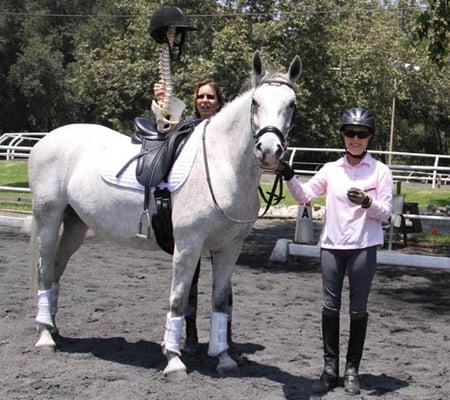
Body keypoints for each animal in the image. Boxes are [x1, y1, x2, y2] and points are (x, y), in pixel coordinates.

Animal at [29, 51, 302, 380]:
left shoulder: (228, 248)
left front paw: (224, 358)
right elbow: (179, 299)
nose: (270, 151)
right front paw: (174, 360)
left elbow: (220, 301)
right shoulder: (188, 245)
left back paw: (53, 327)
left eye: (292, 104)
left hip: (74, 225)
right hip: (49, 218)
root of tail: (45, 141)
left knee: (56, 269)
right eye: (255, 102)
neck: (222, 163)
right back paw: (45, 337)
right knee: (44, 270)